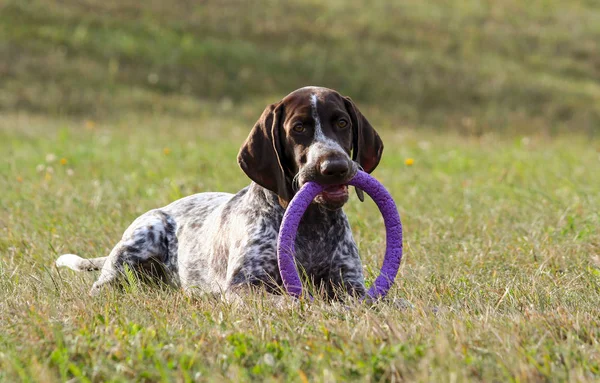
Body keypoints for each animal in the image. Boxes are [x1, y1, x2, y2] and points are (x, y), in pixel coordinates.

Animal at [56, 85, 384, 302]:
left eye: (342, 122)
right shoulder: (245, 286)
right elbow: (282, 299)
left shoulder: (350, 283)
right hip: (142, 236)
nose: (334, 167)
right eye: (299, 128)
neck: (309, 224)